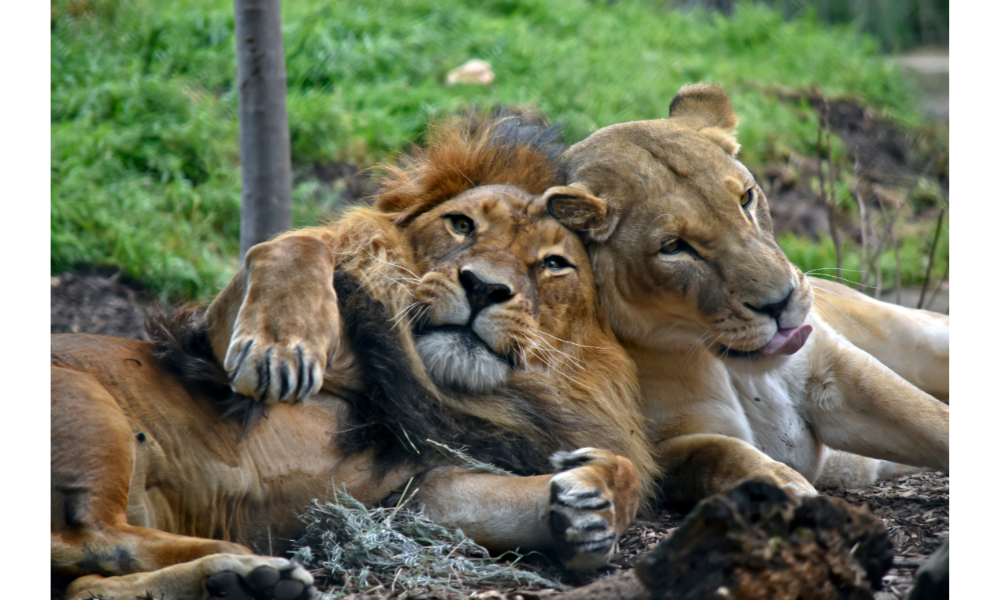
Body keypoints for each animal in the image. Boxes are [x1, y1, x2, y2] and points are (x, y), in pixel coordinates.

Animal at [50, 120, 652, 600]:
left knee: (85, 585)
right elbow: (303, 244)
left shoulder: (418, 492)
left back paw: (241, 579)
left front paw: (591, 505)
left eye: (554, 264)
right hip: (88, 404)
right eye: (462, 225)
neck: (441, 386)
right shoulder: (210, 348)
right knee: (84, 535)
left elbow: (613, 473)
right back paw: (249, 558)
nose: (483, 287)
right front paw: (278, 346)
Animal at [552, 83, 948, 506]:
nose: (780, 303)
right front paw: (788, 493)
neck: (736, 371)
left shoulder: (834, 372)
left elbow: (933, 418)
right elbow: (724, 458)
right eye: (673, 247)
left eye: (746, 199)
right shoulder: (657, 449)